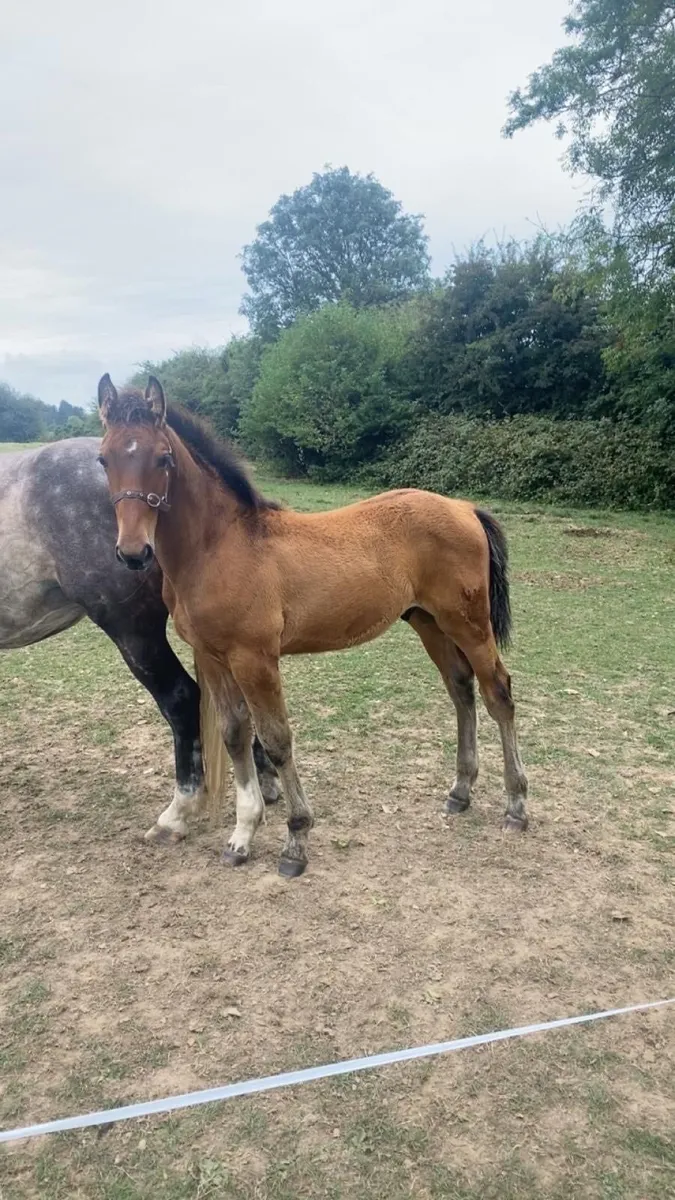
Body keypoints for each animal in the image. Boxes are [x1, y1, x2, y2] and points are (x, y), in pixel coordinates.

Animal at [96, 373, 529, 878]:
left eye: (163, 458)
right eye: (104, 458)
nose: (133, 552)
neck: (219, 547)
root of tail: (464, 507)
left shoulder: (256, 659)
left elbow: (277, 740)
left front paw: (295, 841)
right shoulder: (212, 655)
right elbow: (235, 733)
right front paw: (241, 837)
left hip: (469, 623)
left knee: (497, 691)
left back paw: (516, 806)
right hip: (429, 622)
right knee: (461, 690)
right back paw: (460, 791)